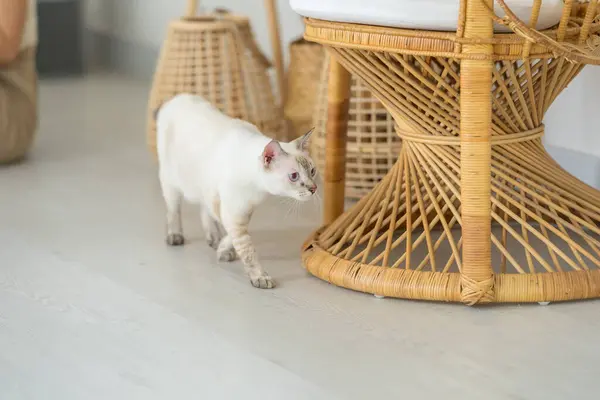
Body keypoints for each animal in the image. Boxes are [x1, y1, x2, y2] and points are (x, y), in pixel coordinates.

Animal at [155, 94, 318, 288]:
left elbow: (233, 236)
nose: (313, 188)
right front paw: (260, 277)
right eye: (294, 176)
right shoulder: (233, 212)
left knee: (204, 209)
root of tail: (176, 98)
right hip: (171, 181)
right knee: (173, 210)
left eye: (312, 171)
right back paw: (175, 236)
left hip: (204, 187)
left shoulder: (244, 211)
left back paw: (213, 237)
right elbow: (246, 248)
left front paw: (223, 249)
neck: (258, 190)